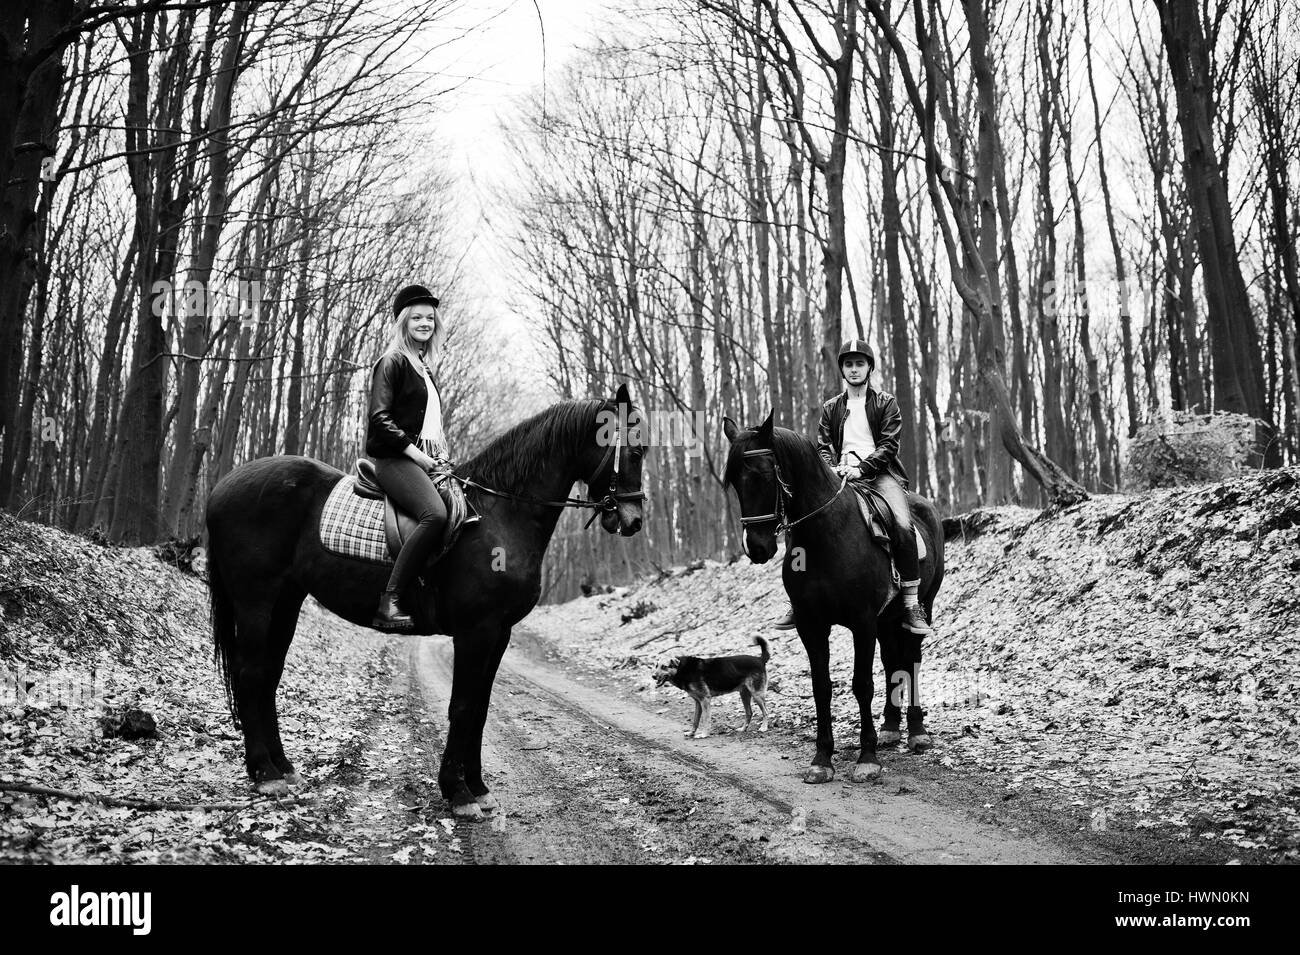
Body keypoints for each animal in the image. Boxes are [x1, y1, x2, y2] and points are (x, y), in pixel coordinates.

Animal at [206, 384, 644, 815]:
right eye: (635, 450)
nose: (633, 520)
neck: (498, 514)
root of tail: (222, 487)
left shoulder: (499, 634)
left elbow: (481, 708)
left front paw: (478, 786)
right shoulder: (475, 632)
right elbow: (462, 706)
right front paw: (458, 792)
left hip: (286, 600)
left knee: (268, 675)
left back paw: (282, 767)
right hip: (255, 600)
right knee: (250, 674)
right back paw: (265, 774)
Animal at [722, 410, 946, 784]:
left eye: (763, 475)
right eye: (735, 482)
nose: (757, 547)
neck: (827, 534)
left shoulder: (862, 622)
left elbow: (862, 684)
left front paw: (867, 759)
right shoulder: (812, 625)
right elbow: (821, 687)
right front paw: (822, 759)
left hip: (919, 608)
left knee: (912, 659)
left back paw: (916, 733)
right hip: (886, 620)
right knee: (892, 661)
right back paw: (890, 728)